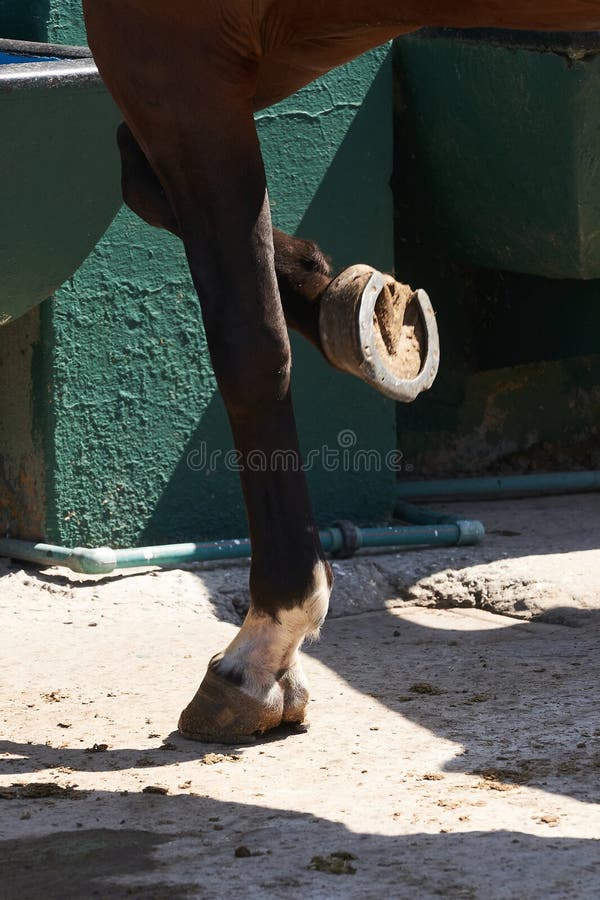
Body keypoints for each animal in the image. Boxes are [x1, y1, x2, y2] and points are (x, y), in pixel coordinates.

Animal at [81, 1, 600, 742]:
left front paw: (264, 648)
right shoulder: (289, 40)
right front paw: (357, 311)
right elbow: (137, 170)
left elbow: (250, 345)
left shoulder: (177, 56)